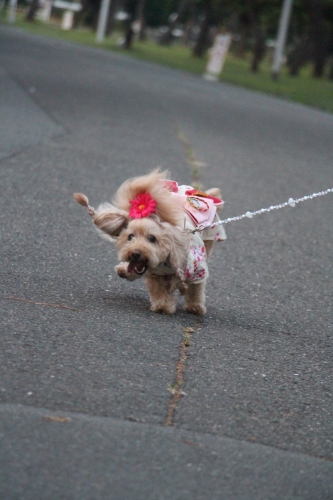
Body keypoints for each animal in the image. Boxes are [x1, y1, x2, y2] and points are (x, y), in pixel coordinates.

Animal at [74, 170, 226, 314]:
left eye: (152, 238)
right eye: (130, 236)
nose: (135, 253)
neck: (165, 262)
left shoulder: (198, 272)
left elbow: (196, 289)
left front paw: (195, 307)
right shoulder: (155, 274)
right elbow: (158, 290)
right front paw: (163, 306)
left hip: (209, 239)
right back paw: (125, 271)